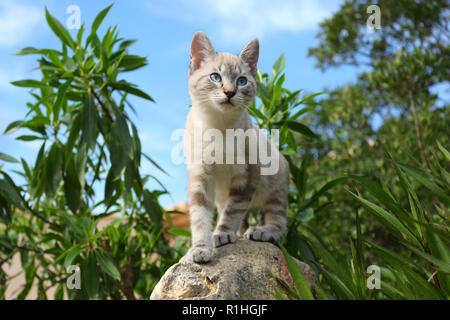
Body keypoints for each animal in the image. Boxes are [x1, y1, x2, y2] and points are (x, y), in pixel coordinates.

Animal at [185, 31, 290, 264]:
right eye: (215, 77)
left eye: (241, 81)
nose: (230, 92)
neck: (218, 126)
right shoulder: (201, 177)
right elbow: (200, 218)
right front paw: (200, 248)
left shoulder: (246, 176)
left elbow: (232, 213)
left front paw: (222, 234)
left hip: (275, 189)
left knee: (279, 223)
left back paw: (261, 232)